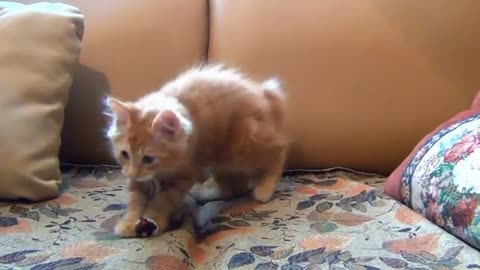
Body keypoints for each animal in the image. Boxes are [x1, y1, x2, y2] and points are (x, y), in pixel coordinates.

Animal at [106, 64, 286, 237]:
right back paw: (204, 194)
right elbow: (135, 201)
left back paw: (265, 188)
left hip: (242, 146)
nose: (132, 173)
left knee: (278, 151)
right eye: (125, 154)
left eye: (148, 158)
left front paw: (154, 219)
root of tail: (264, 95)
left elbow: (162, 201)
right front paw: (128, 223)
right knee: (234, 188)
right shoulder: (138, 182)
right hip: (223, 161)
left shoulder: (183, 177)